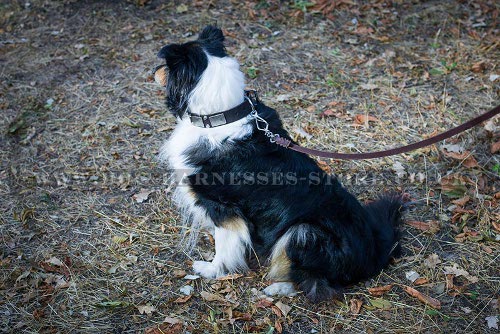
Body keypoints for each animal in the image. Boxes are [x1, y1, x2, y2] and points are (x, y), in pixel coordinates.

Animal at [154, 26, 404, 302]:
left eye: (166, 66)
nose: (154, 71)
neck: (220, 117)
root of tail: (374, 255)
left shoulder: (223, 207)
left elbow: (224, 244)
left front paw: (212, 269)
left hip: (303, 232)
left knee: (316, 283)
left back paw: (278, 287)